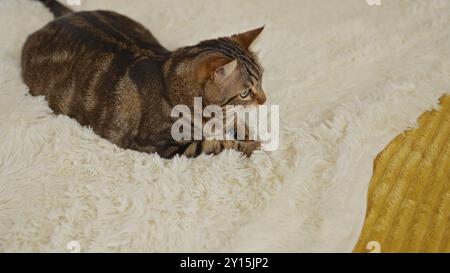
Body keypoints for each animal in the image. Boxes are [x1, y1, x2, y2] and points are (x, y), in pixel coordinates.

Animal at [22, 0, 268, 158]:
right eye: (245, 92)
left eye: (262, 80)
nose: (264, 100)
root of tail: (66, 15)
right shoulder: (165, 145)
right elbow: (217, 144)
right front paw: (252, 147)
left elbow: (236, 122)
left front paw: (248, 135)